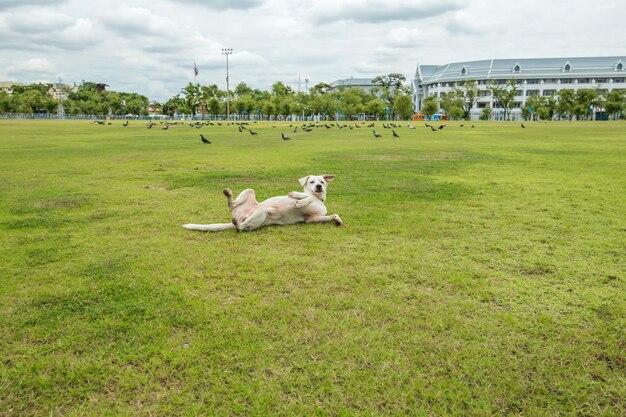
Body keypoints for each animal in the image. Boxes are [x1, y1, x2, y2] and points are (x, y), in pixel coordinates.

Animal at [182, 172, 342, 231]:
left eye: (322, 182)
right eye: (312, 182)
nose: (319, 186)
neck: (319, 199)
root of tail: (243, 216)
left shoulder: (311, 219)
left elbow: (333, 215)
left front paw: (337, 220)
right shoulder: (308, 196)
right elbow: (306, 196)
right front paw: (298, 199)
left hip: (259, 215)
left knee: (240, 226)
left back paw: (237, 222)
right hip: (249, 191)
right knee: (231, 206)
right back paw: (228, 194)